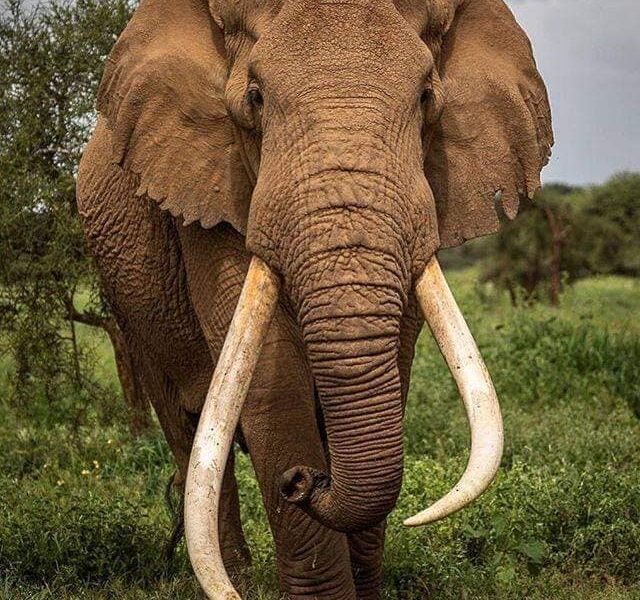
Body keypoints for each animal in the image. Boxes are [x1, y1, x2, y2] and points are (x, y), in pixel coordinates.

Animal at [77, 0, 552, 597]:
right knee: (188, 432)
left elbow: (394, 362)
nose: (301, 482)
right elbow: (273, 380)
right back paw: (238, 576)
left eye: (426, 97)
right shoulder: (210, 187)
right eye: (255, 98)